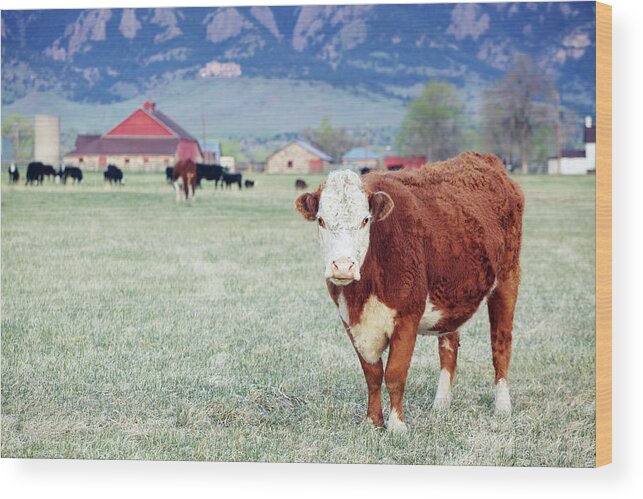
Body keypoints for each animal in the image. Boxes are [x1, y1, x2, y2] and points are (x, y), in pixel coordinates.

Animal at [296, 152, 524, 434]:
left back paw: (502, 405)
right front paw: (373, 421)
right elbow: (372, 375)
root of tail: (484, 159)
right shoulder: (351, 321)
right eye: (321, 220)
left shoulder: (407, 316)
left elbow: (394, 373)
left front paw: (396, 425)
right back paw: (441, 404)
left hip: (507, 281)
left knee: (500, 344)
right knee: (448, 348)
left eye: (365, 220)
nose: (343, 266)